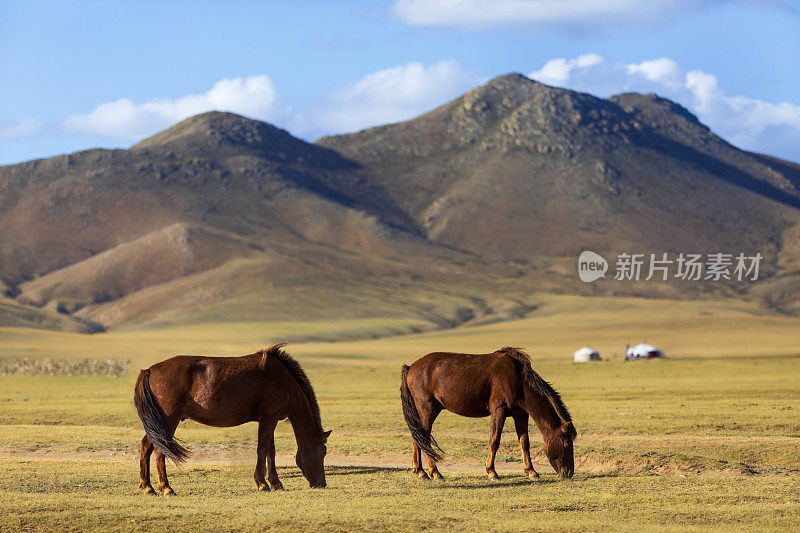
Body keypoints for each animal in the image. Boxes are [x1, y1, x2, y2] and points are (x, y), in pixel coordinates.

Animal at [136, 342, 330, 492]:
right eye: (322, 452)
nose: (321, 483)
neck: (283, 380)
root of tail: (150, 370)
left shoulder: (269, 419)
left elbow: (270, 451)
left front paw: (276, 483)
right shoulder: (269, 418)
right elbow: (262, 449)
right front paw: (262, 484)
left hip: (158, 423)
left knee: (146, 446)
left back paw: (148, 487)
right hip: (168, 420)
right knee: (160, 450)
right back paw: (166, 488)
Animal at [400, 348, 576, 480]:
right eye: (566, 443)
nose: (568, 473)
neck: (518, 380)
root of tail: (411, 367)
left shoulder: (520, 415)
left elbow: (524, 442)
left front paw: (531, 471)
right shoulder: (499, 410)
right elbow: (494, 440)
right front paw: (492, 472)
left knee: (418, 437)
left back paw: (420, 471)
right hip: (427, 408)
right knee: (423, 438)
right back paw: (435, 473)